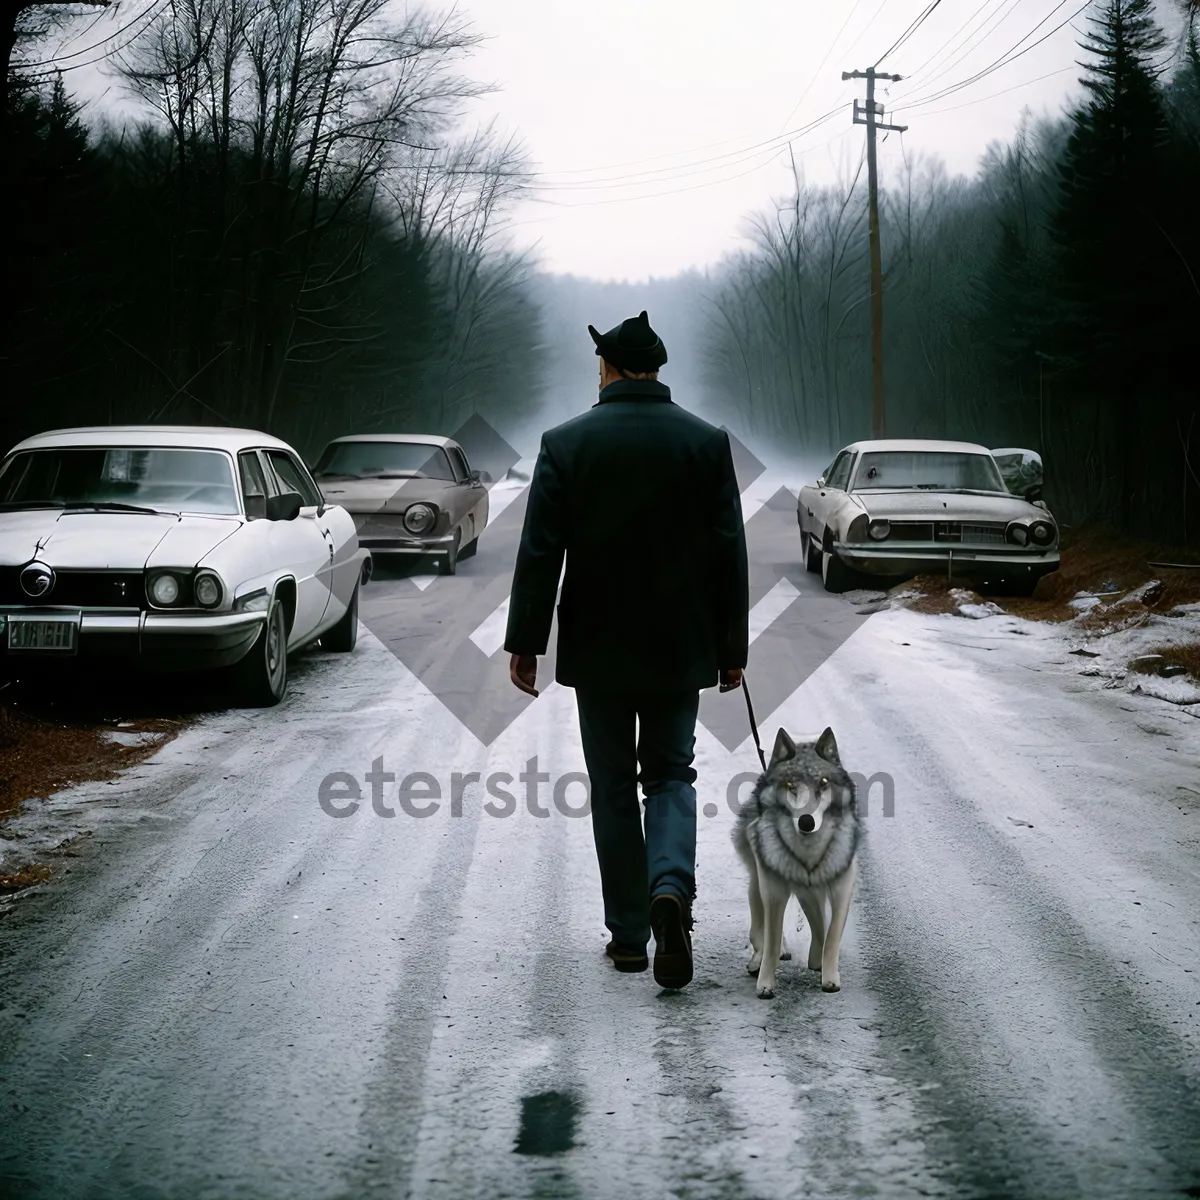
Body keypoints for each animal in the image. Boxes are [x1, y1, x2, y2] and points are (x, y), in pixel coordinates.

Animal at [729, 724, 864, 998]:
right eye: (790, 784)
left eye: (823, 783)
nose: (806, 821)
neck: (809, 851)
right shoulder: (775, 891)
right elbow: (771, 938)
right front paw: (765, 983)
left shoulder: (841, 886)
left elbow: (831, 933)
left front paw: (828, 975)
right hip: (759, 884)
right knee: (759, 930)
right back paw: (759, 959)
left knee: (817, 922)